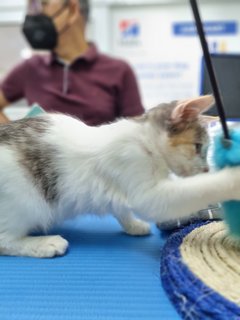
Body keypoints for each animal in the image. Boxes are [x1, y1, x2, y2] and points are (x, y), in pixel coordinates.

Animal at [0, 95, 240, 258]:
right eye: (198, 147)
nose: (206, 169)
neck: (144, 141)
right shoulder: (146, 189)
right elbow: (196, 189)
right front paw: (230, 178)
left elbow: (121, 208)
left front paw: (133, 224)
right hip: (27, 202)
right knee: (4, 240)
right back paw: (44, 244)